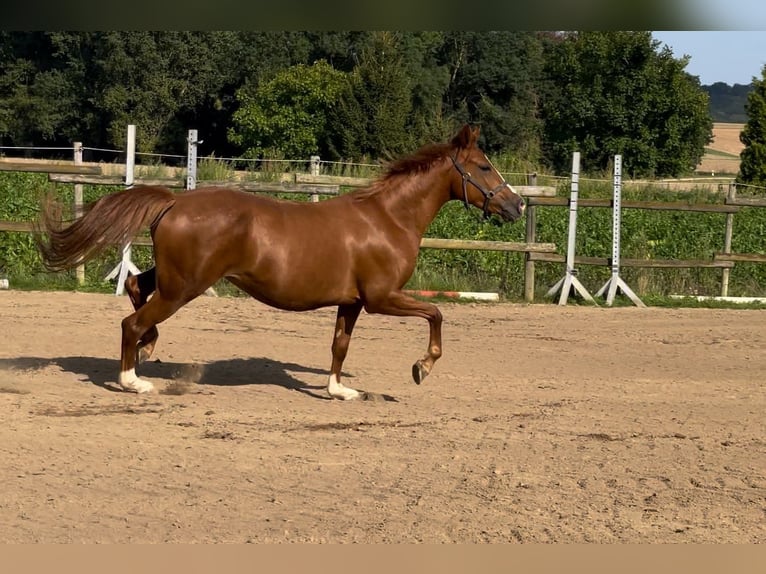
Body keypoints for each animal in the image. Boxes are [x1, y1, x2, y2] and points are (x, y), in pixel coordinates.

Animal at [37, 125, 528, 400]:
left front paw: (339, 390)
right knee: (132, 321)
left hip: (179, 279)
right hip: (185, 286)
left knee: (137, 287)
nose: (518, 205)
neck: (387, 218)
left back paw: (148, 351)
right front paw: (421, 368)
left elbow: (339, 346)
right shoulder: (383, 297)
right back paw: (133, 380)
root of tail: (175, 201)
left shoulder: (352, 302)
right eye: (484, 167)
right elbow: (437, 313)